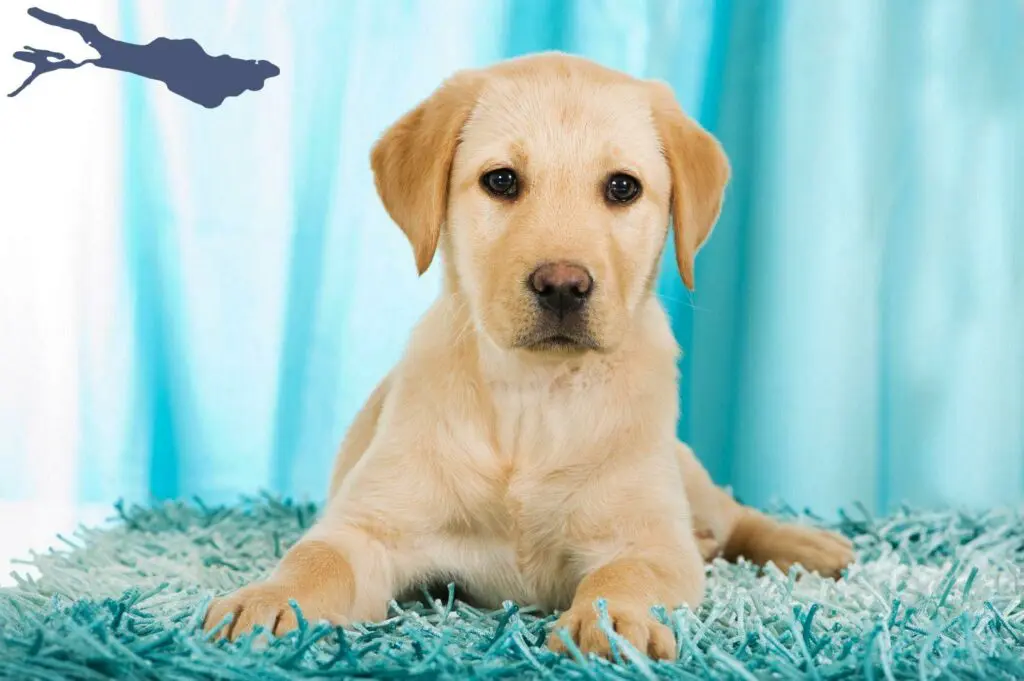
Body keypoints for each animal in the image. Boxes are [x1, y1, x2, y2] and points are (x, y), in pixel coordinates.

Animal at [203, 51, 851, 659]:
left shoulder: (653, 540)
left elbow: (627, 573)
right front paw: (266, 600)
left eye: (622, 187)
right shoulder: (368, 528)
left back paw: (809, 543)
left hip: (685, 475)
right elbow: (317, 558)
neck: (534, 397)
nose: (563, 285)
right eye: (501, 181)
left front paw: (611, 622)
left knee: (732, 514)